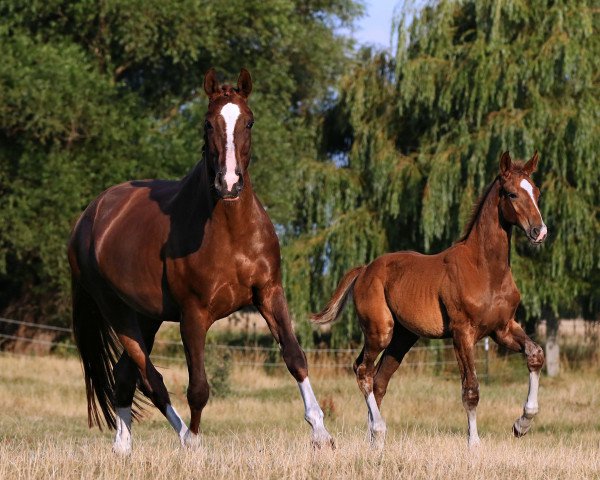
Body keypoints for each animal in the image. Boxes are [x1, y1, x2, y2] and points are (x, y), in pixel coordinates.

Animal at [71, 68, 332, 454]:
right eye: (208, 124)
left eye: (249, 121)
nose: (229, 183)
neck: (231, 232)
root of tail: (89, 217)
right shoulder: (193, 315)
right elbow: (198, 388)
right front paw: (194, 441)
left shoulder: (269, 293)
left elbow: (295, 357)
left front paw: (321, 433)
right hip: (117, 312)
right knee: (150, 378)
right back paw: (184, 439)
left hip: (146, 316)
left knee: (125, 376)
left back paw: (123, 446)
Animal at [314, 153, 548, 446]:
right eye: (512, 193)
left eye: (536, 192)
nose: (539, 231)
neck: (485, 269)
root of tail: (365, 269)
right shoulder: (462, 334)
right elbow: (471, 389)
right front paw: (474, 444)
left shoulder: (503, 329)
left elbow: (535, 355)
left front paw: (522, 424)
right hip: (380, 332)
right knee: (363, 371)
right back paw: (378, 429)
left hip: (403, 338)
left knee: (379, 381)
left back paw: (375, 443)